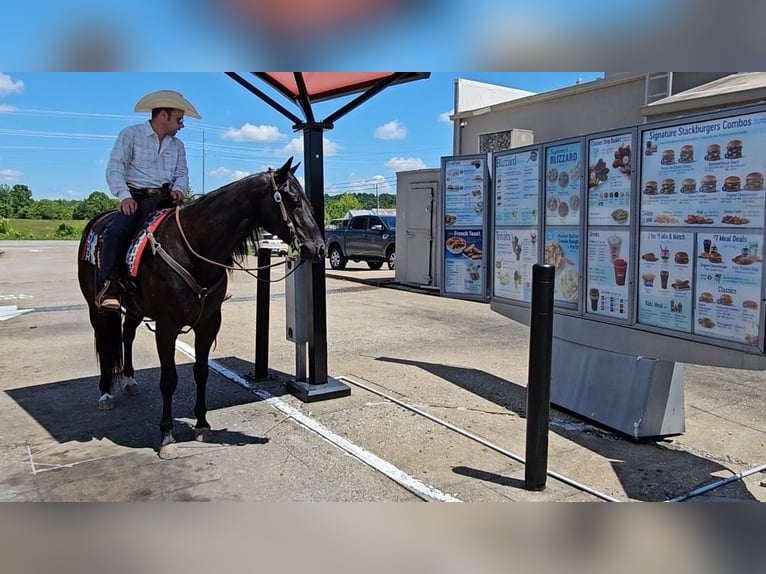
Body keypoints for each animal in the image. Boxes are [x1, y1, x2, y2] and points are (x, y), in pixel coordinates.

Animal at [75, 158, 320, 460]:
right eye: (294, 201)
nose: (319, 248)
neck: (191, 249)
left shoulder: (209, 322)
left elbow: (201, 372)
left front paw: (202, 424)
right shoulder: (166, 326)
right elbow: (169, 379)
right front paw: (167, 436)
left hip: (134, 309)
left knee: (127, 335)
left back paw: (130, 381)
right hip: (96, 308)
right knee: (105, 342)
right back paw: (106, 393)